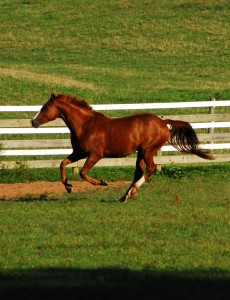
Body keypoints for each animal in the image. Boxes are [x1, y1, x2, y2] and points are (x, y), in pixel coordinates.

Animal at [30, 94, 214, 202]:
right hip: (141, 152)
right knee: (139, 171)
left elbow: (82, 172)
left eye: (45, 107)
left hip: (148, 151)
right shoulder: (78, 152)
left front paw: (102, 182)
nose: (33, 122)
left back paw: (132, 192)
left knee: (151, 169)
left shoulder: (95, 154)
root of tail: (163, 122)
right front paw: (68, 187)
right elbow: (62, 163)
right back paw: (125, 196)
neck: (86, 125)